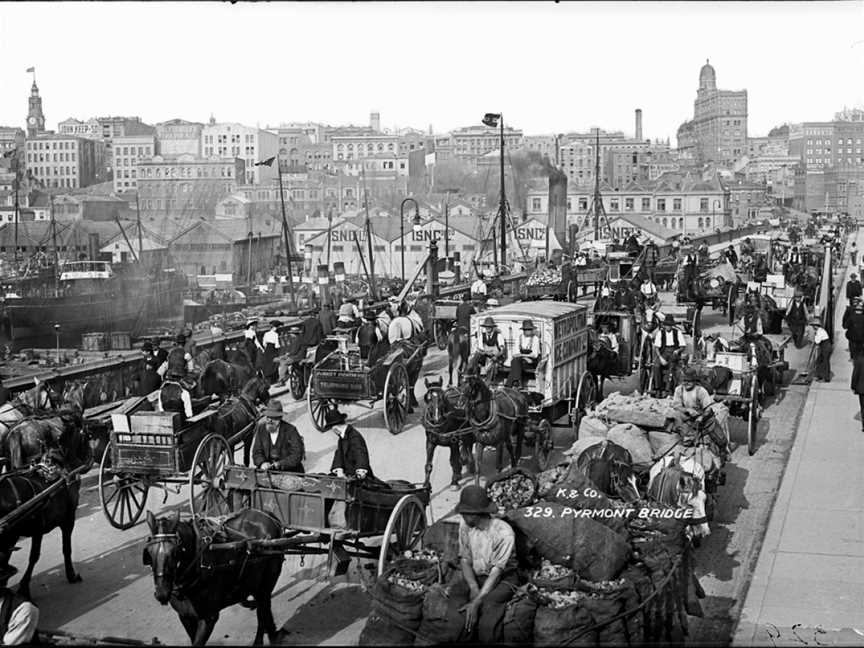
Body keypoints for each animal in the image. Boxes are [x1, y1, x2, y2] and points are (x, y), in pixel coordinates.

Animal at [143, 508, 286, 644]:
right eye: (149, 553)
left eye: (174, 552)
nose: (161, 593)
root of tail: (267, 514)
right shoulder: (185, 616)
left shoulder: (208, 618)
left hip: (266, 583)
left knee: (263, 610)